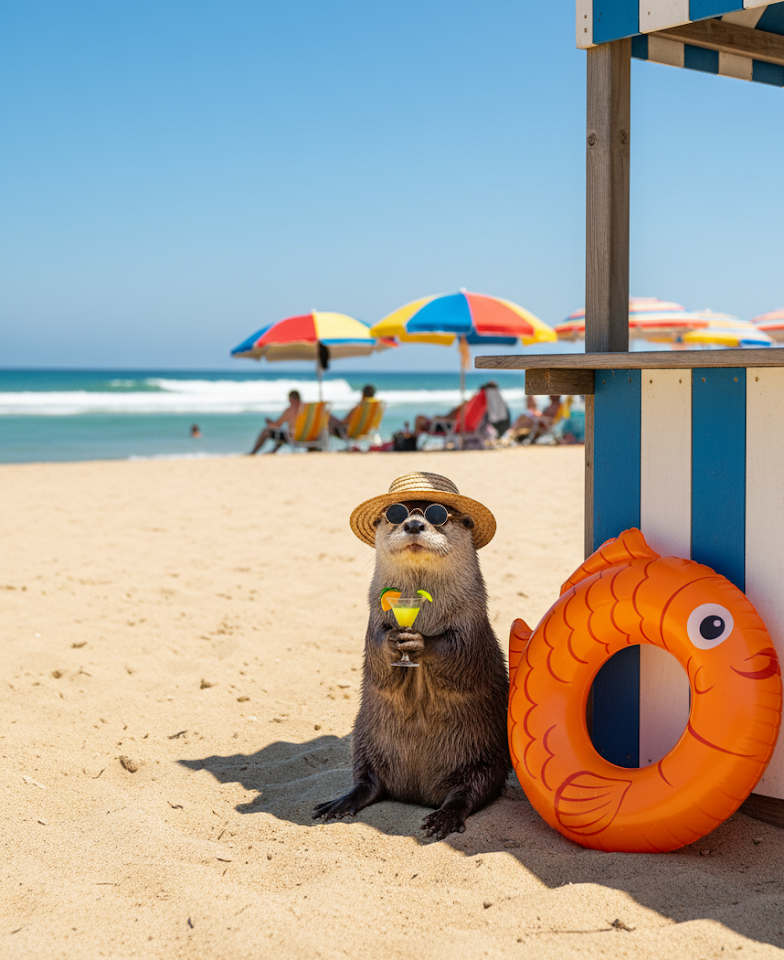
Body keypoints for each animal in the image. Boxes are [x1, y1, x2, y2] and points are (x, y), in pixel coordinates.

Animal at [313, 473, 510, 840]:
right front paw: (396, 639)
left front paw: (418, 642)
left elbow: (457, 652)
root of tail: (418, 792)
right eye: (396, 514)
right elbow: (377, 645)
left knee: (470, 790)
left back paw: (443, 817)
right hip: (364, 740)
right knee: (367, 780)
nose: (415, 524)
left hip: (486, 756)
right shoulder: (374, 619)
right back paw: (340, 803)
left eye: (438, 515)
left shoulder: (471, 624)